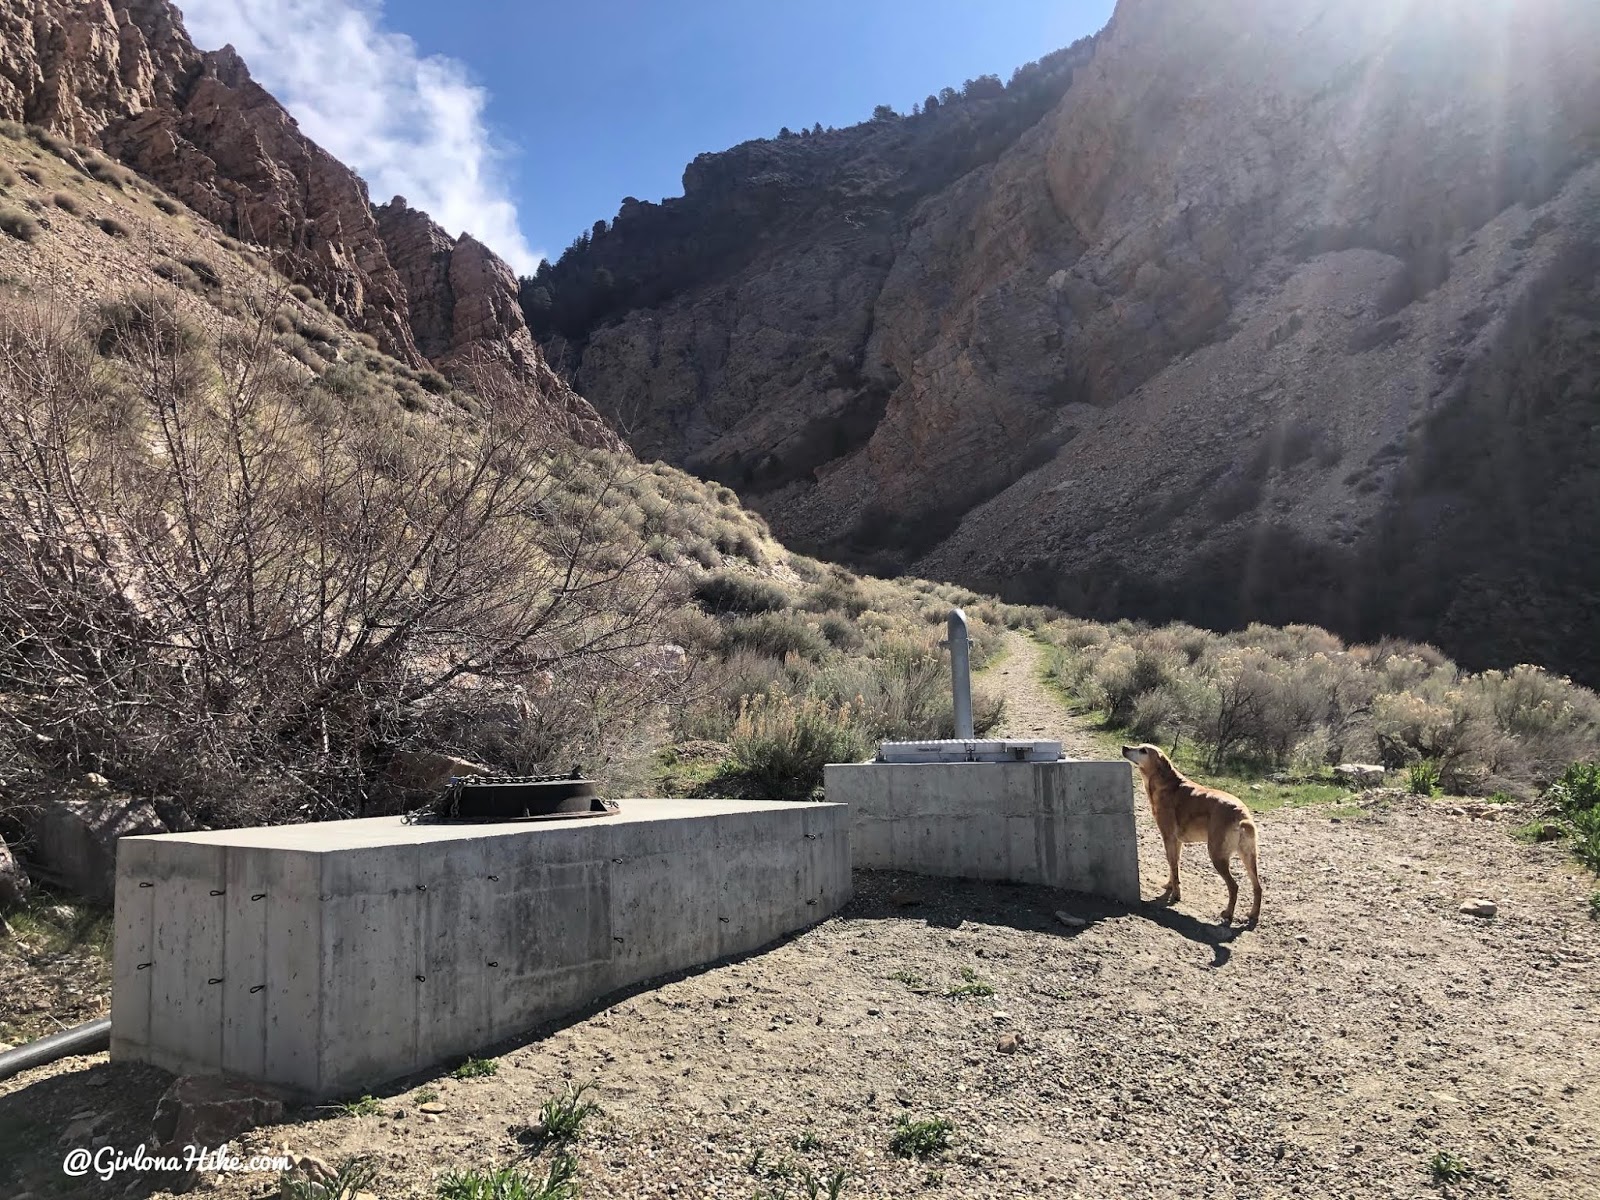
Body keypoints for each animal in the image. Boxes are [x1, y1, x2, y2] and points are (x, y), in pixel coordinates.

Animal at [1126, 742, 1260, 928]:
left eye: (1143, 750)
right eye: (1138, 746)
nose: (1124, 747)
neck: (1166, 783)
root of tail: (1242, 816)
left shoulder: (1168, 837)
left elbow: (1173, 866)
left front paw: (1176, 895)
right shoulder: (1177, 842)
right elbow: (1174, 865)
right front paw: (1170, 886)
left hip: (1218, 856)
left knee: (1234, 887)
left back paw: (1228, 914)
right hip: (1249, 858)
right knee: (1258, 888)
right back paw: (1253, 914)